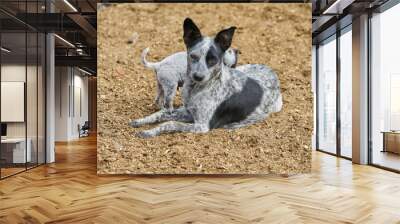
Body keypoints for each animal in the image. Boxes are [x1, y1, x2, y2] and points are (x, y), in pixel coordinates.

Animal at [130, 17, 282, 137]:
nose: (198, 76)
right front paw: (141, 122)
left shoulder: (201, 125)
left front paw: (150, 132)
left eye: (213, 60)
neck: (196, 89)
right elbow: (161, 114)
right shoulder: (187, 111)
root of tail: (272, 72)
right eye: (193, 56)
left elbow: (169, 123)